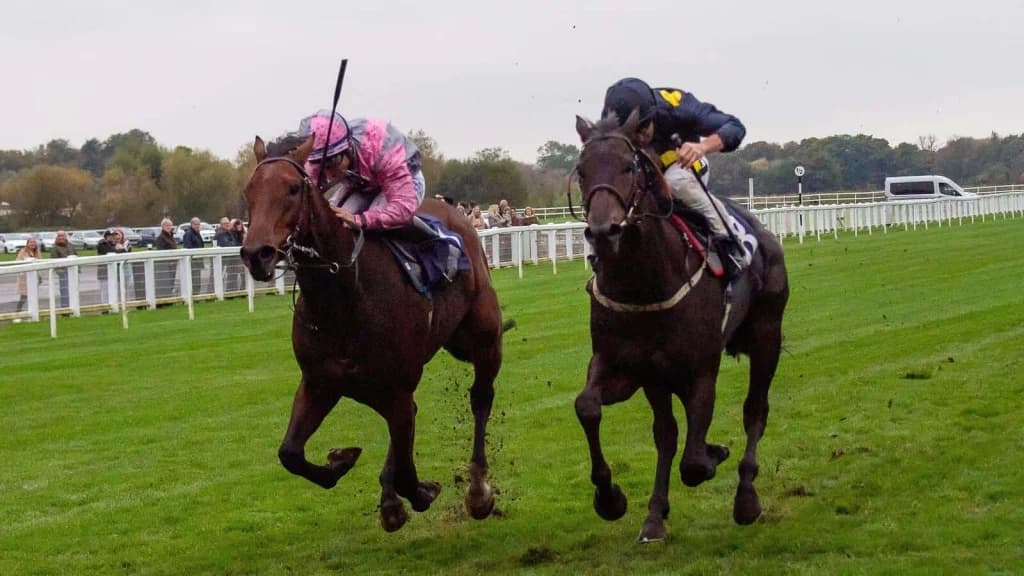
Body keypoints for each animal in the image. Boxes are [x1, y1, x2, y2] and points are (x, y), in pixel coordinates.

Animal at [240, 135, 504, 532]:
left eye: (292, 189)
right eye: (248, 191)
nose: (257, 254)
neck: (343, 297)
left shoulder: (394, 387)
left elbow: (410, 473)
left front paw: (420, 492)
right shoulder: (320, 382)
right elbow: (290, 453)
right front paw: (342, 460)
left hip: (486, 339)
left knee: (480, 399)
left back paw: (477, 491)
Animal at [573, 111, 790, 543]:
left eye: (628, 167)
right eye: (582, 171)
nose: (604, 231)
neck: (644, 282)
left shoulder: (700, 370)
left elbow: (693, 461)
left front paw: (714, 453)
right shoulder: (629, 367)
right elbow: (589, 407)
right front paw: (611, 498)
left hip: (766, 336)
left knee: (755, 410)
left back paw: (746, 498)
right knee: (668, 435)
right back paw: (655, 515)